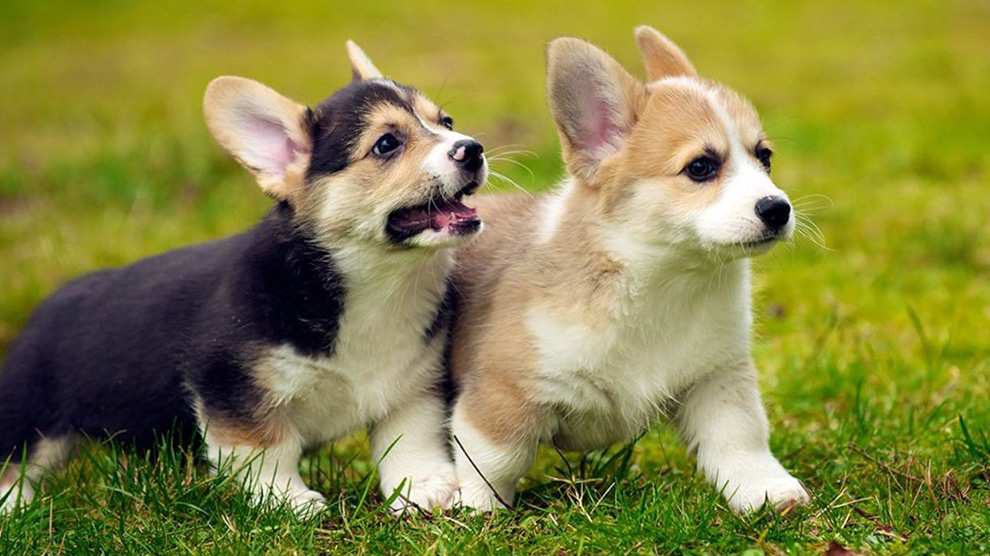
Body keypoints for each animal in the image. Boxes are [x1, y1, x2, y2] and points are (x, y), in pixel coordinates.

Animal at [0, 41, 488, 516]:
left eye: (446, 122)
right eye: (386, 144)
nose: (473, 148)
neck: (375, 282)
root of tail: (51, 302)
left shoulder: (411, 387)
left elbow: (409, 440)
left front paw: (425, 488)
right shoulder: (232, 390)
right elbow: (266, 449)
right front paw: (289, 500)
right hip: (29, 415)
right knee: (16, 464)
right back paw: (16, 508)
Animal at [446, 25, 808, 512]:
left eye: (764, 157)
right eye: (701, 167)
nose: (777, 208)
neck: (663, 280)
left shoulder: (717, 378)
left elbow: (741, 438)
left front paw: (766, 491)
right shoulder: (505, 391)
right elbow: (491, 461)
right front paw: (474, 511)